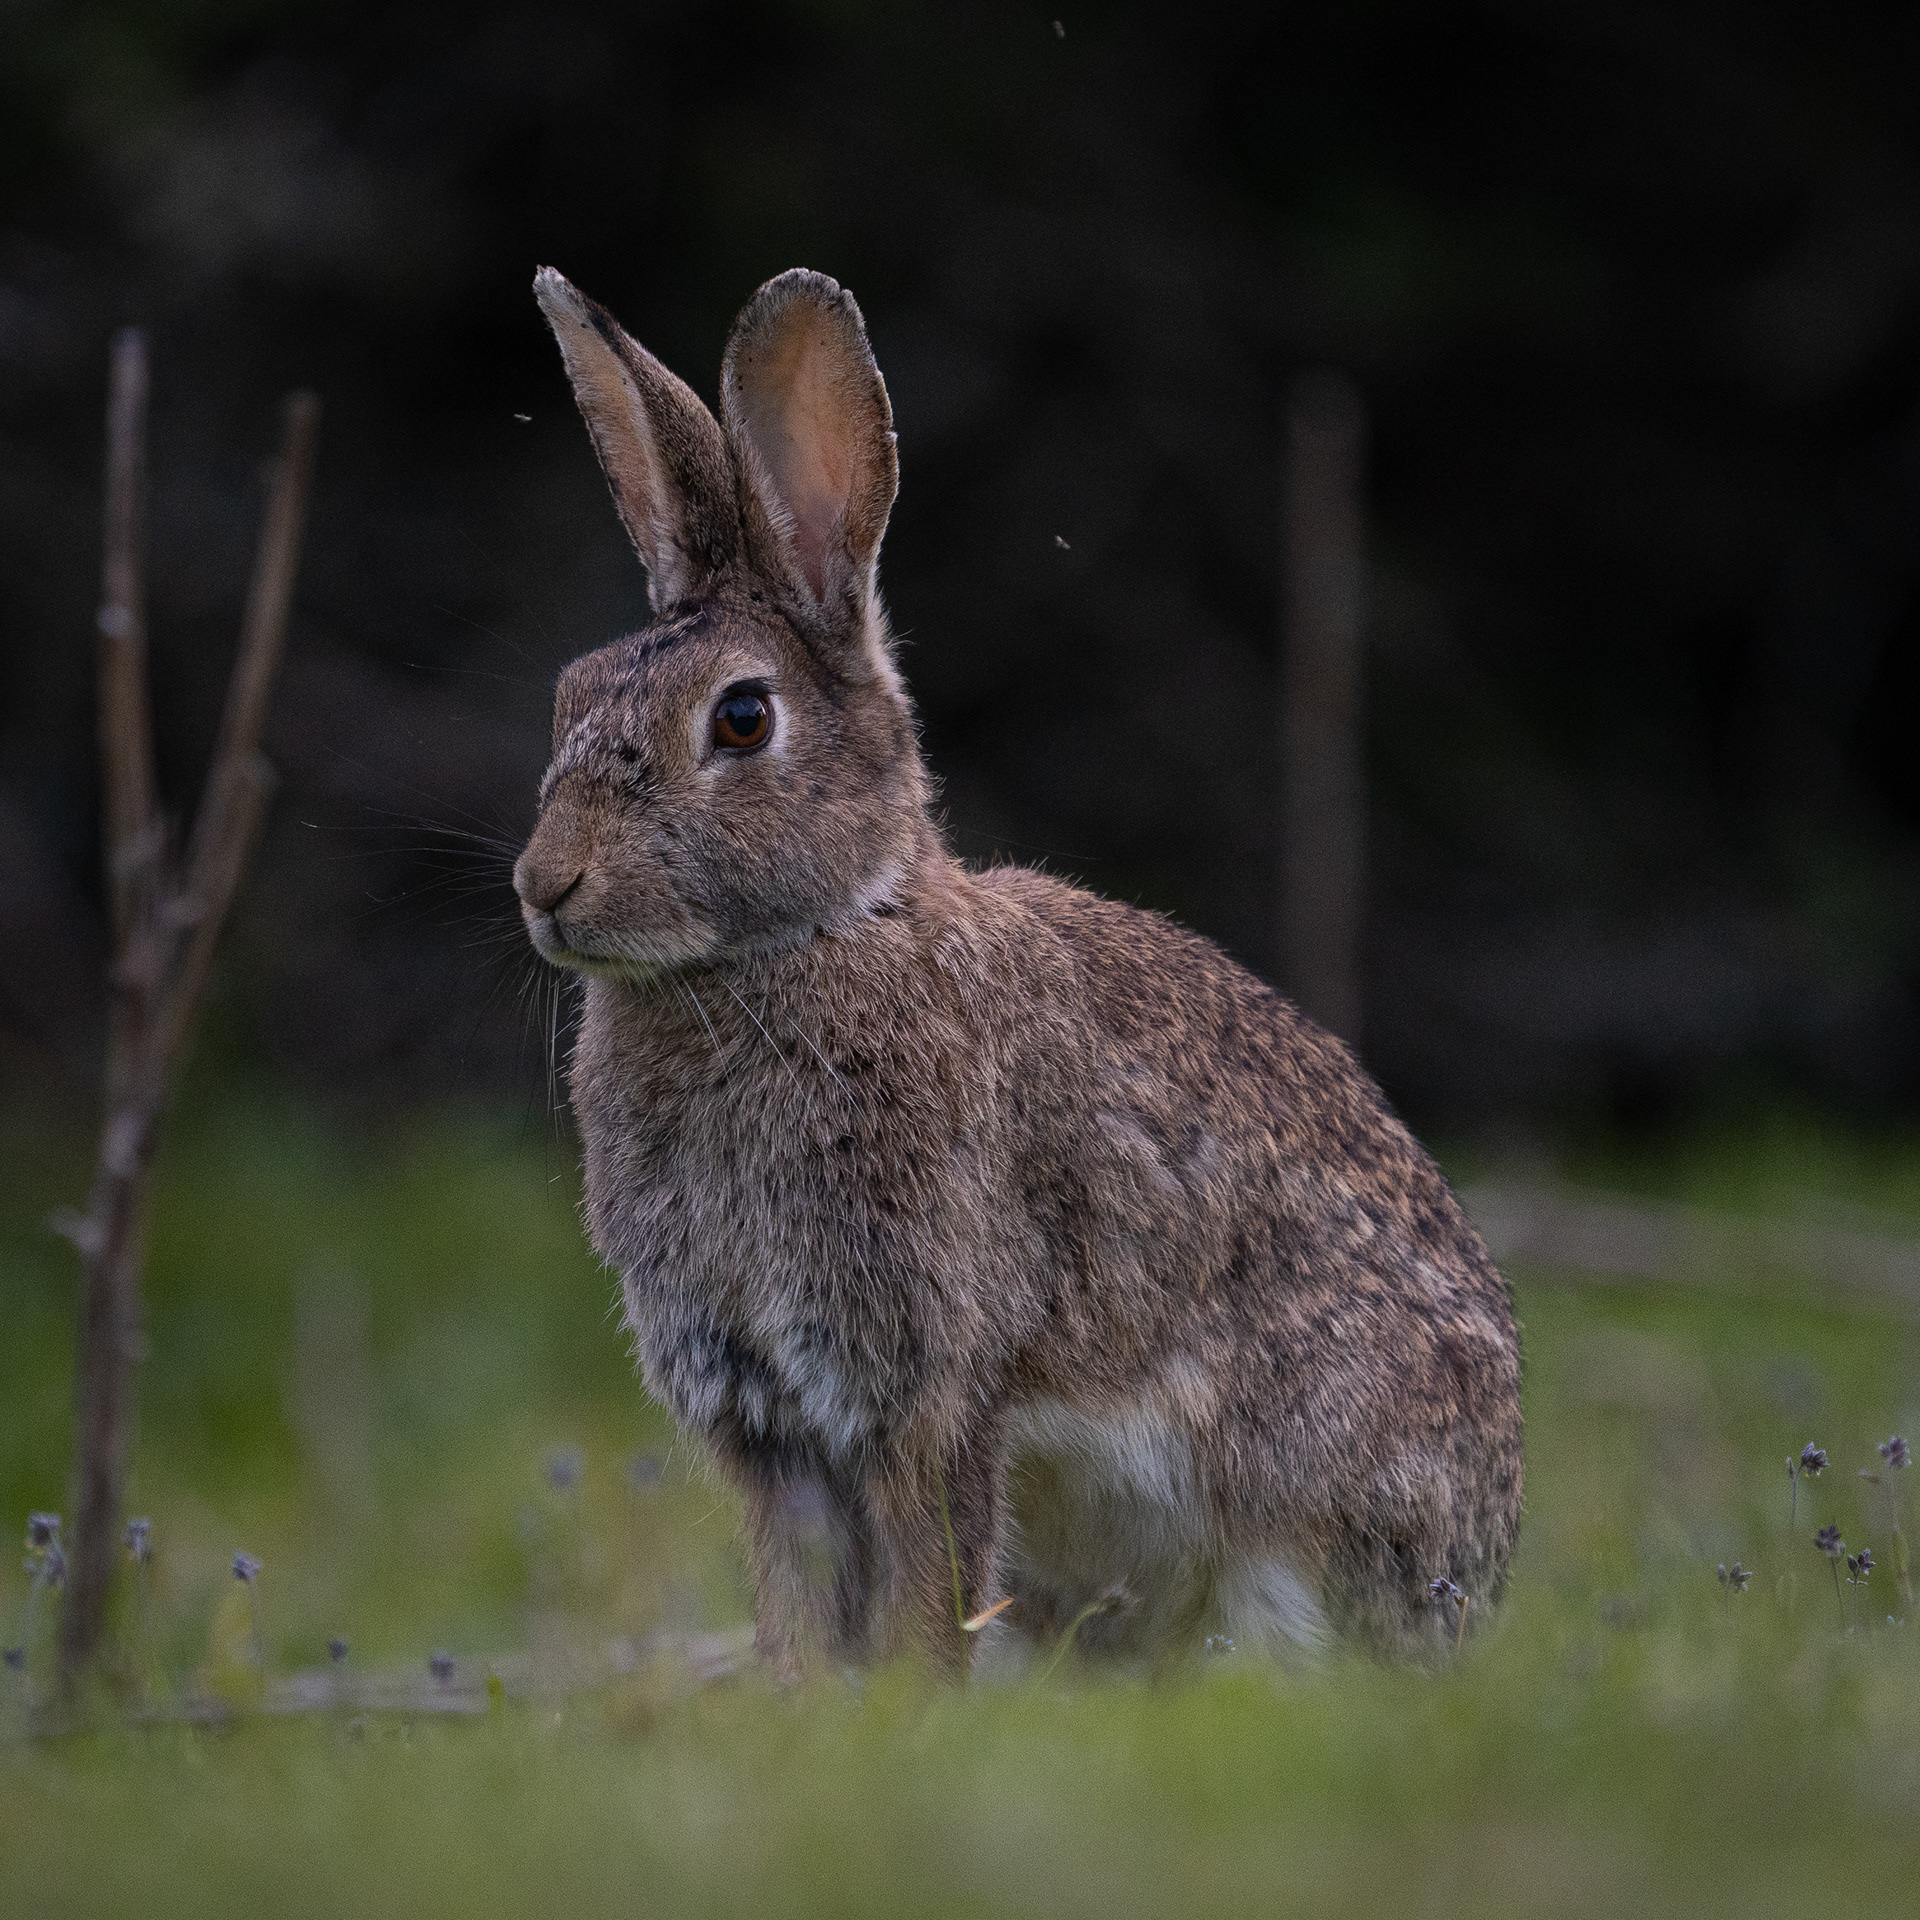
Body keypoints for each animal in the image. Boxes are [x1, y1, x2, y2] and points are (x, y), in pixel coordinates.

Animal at [514, 263, 1522, 1677]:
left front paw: (910, 1708)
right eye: (570, 695)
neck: (816, 937)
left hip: (1311, 1505)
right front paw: (803, 1710)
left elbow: (922, 1590)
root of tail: (1486, 1566)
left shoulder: (929, 1387)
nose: (545, 885)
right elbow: (799, 1607)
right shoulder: (773, 1424)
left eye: (743, 719)